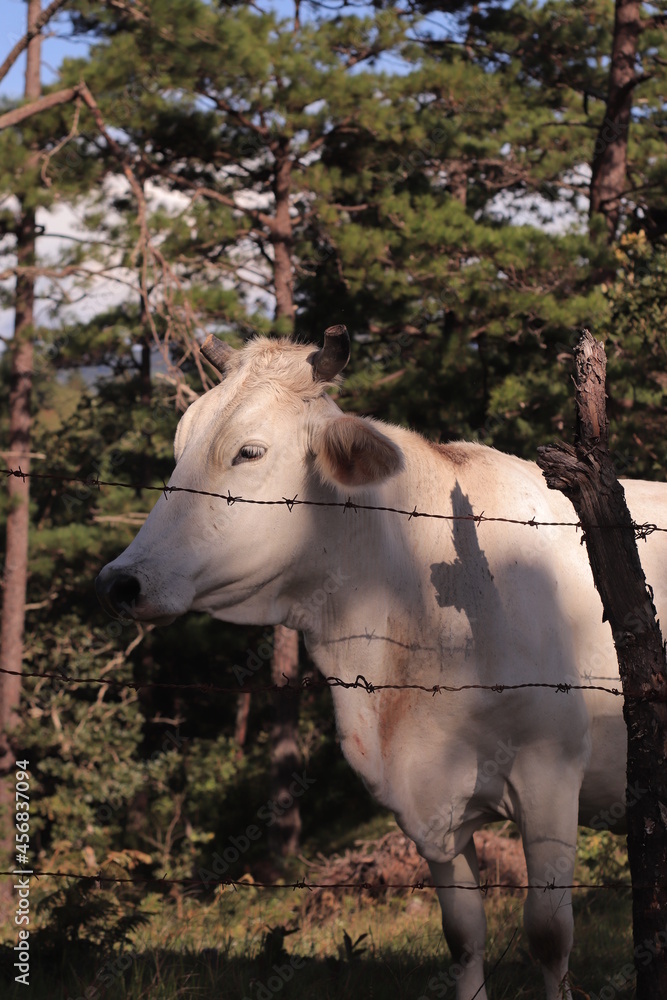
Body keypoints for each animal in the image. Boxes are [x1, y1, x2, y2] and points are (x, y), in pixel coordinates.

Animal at [96, 326, 667, 1000]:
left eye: (248, 452)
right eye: (180, 444)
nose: (120, 582)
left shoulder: (550, 772)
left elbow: (549, 936)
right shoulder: (426, 801)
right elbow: (463, 936)